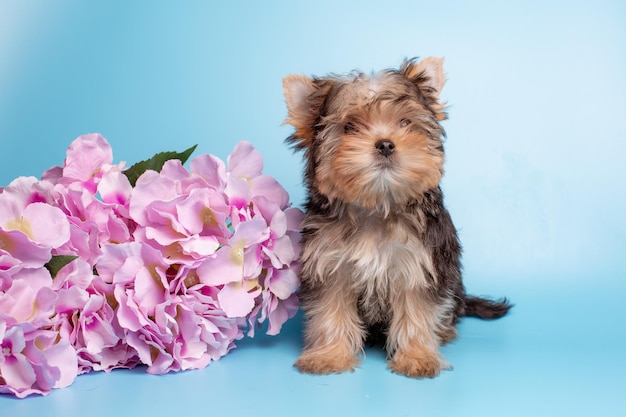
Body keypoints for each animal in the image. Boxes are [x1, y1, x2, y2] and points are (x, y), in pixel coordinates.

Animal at [282, 57, 512, 378]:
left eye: (405, 123)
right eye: (349, 127)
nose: (385, 144)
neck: (377, 206)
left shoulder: (419, 265)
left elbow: (417, 311)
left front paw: (417, 356)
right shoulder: (329, 265)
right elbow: (330, 310)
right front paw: (329, 355)